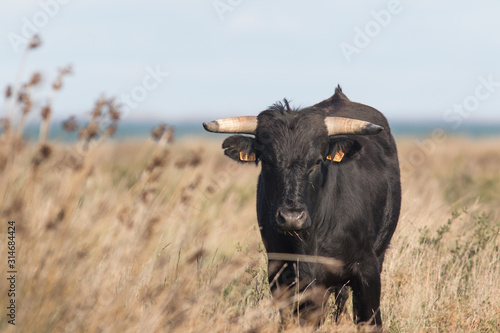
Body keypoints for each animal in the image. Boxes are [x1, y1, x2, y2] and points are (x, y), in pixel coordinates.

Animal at [201, 86, 400, 326]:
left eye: (317, 161)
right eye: (266, 161)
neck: (308, 241)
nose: (291, 217)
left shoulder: (368, 272)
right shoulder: (282, 276)